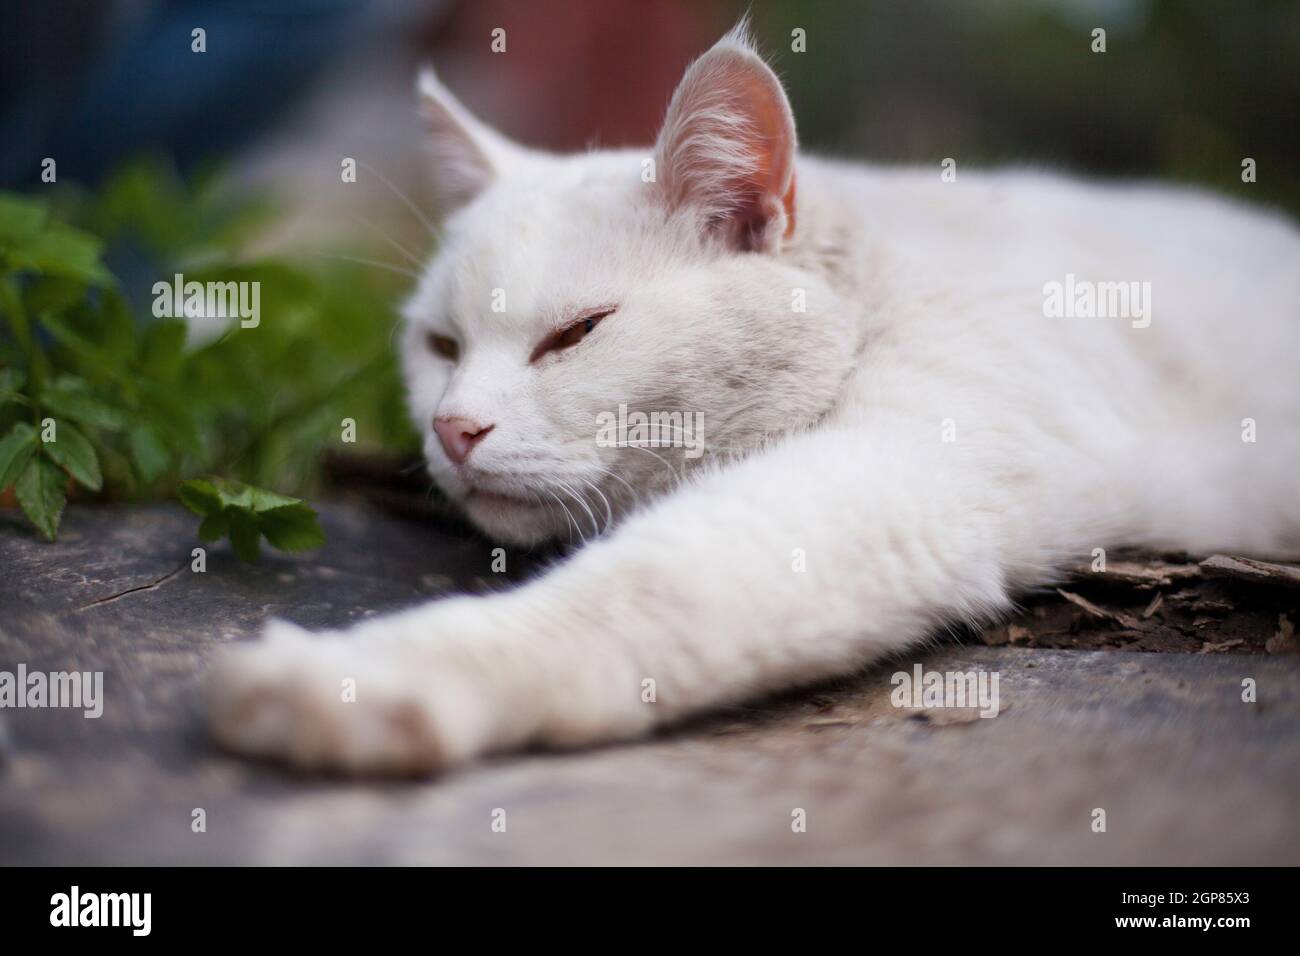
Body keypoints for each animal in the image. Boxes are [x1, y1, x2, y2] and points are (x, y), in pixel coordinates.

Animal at [210, 22, 1300, 775]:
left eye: (577, 334)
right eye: (440, 345)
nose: (451, 427)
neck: (881, 284)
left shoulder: (893, 475)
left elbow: (644, 588)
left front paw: (369, 680)